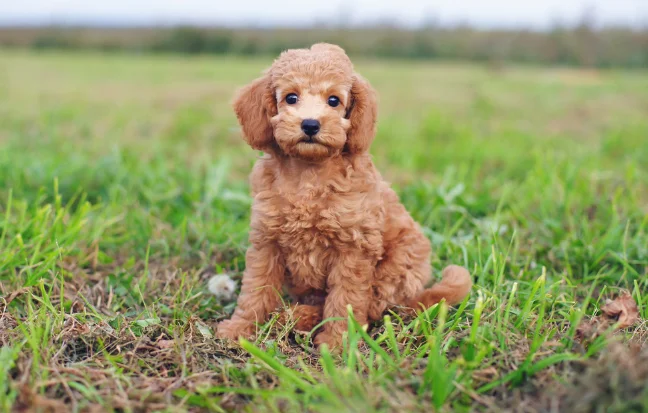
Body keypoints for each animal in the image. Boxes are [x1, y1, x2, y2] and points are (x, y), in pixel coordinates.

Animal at [216, 42, 470, 348]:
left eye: (334, 100)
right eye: (291, 97)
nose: (310, 125)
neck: (309, 173)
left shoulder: (354, 248)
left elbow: (345, 298)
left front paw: (337, 343)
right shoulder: (266, 241)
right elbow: (255, 289)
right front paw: (240, 328)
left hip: (397, 268)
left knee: (373, 307)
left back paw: (299, 317)